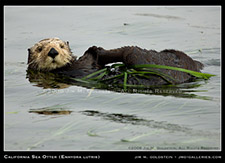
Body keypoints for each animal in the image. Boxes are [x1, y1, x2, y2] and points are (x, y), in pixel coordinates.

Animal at [26, 38, 204, 86]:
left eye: (61, 46)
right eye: (40, 49)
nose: (53, 51)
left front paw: (94, 49)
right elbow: (88, 60)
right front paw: (93, 50)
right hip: (140, 59)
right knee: (132, 51)